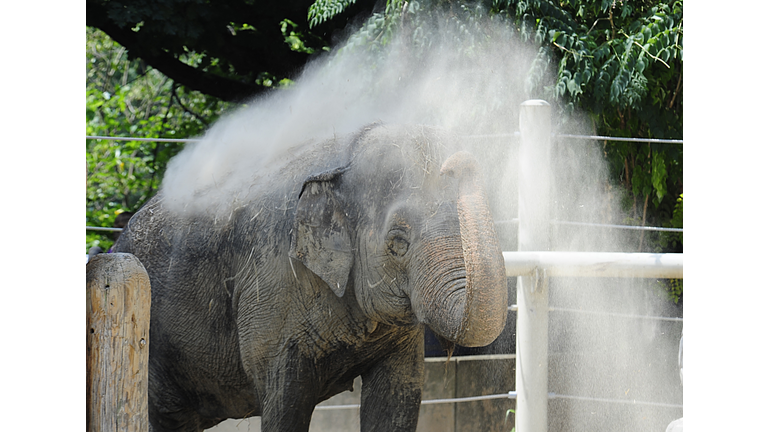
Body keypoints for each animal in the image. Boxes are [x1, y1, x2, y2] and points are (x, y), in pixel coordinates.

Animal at [114, 122, 510, 432]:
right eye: (399, 243)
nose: (457, 163)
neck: (343, 160)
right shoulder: (270, 290)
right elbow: (285, 406)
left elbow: (397, 402)